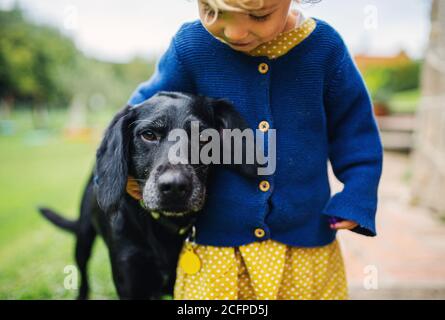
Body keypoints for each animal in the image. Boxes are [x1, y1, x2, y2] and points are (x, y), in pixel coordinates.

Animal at [40, 91, 258, 298]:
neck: (163, 228)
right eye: (149, 135)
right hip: (83, 239)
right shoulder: (130, 280)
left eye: (205, 138)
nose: (175, 186)